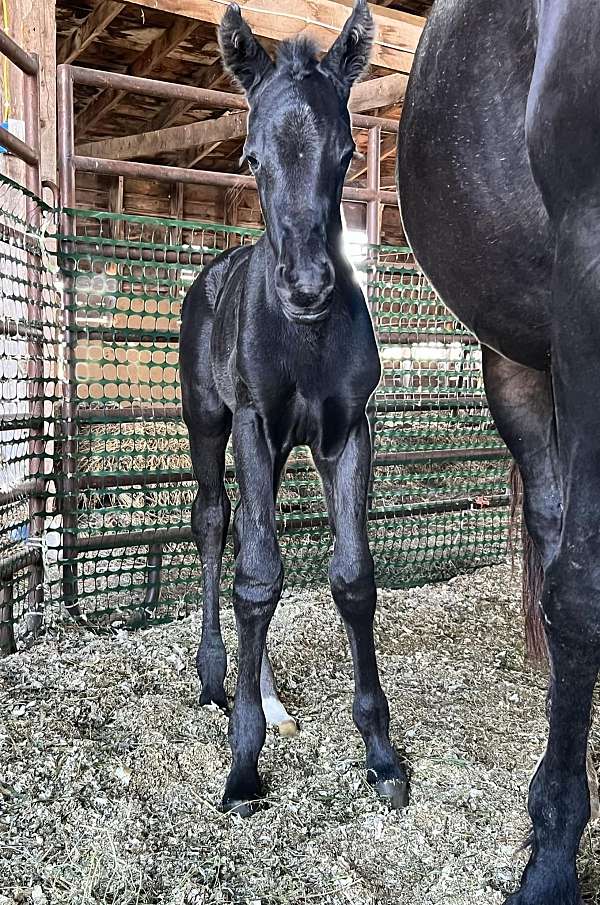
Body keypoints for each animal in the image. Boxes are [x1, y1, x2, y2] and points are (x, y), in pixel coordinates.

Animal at [179, 0, 408, 816]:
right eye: (251, 158)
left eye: (345, 155)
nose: (307, 287)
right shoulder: (252, 423)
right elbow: (256, 579)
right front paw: (244, 765)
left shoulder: (346, 433)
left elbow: (351, 578)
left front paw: (381, 756)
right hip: (210, 424)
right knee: (218, 525)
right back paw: (219, 681)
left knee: (254, 535)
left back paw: (270, 697)